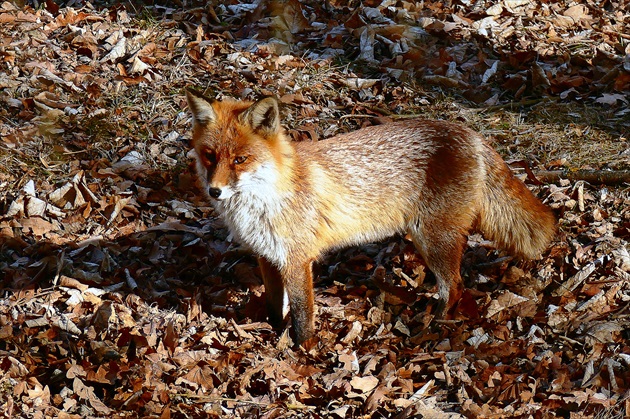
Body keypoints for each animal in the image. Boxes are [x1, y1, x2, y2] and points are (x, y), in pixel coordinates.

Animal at [186, 90, 556, 346]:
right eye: (210, 156)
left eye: (241, 159)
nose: (215, 191)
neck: (265, 200)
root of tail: (471, 134)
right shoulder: (268, 256)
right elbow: (277, 307)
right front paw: (275, 333)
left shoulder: (296, 260)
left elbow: (303, 315)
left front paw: (303, 350)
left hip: (432, 239)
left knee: (455, 287)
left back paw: (435, 326)